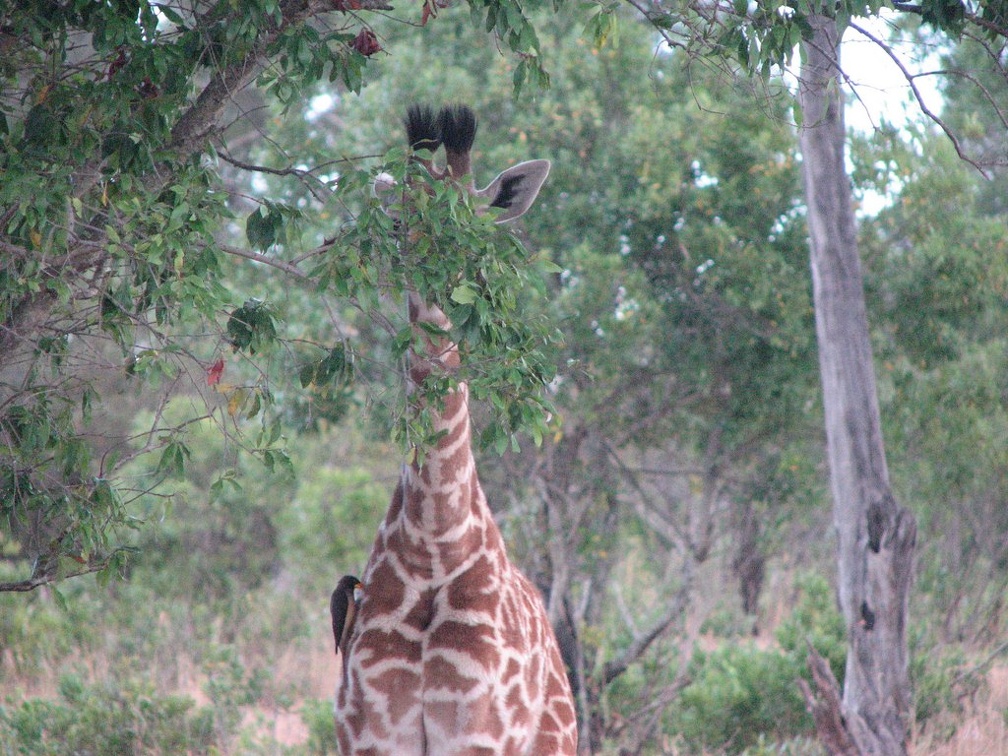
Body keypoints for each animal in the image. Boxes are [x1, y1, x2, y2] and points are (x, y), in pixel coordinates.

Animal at [332, 106, 576, 756]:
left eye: (475, 220)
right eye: (400, 223)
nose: (444, 286)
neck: (435, 543)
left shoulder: (478, 736)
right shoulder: (371, 737)